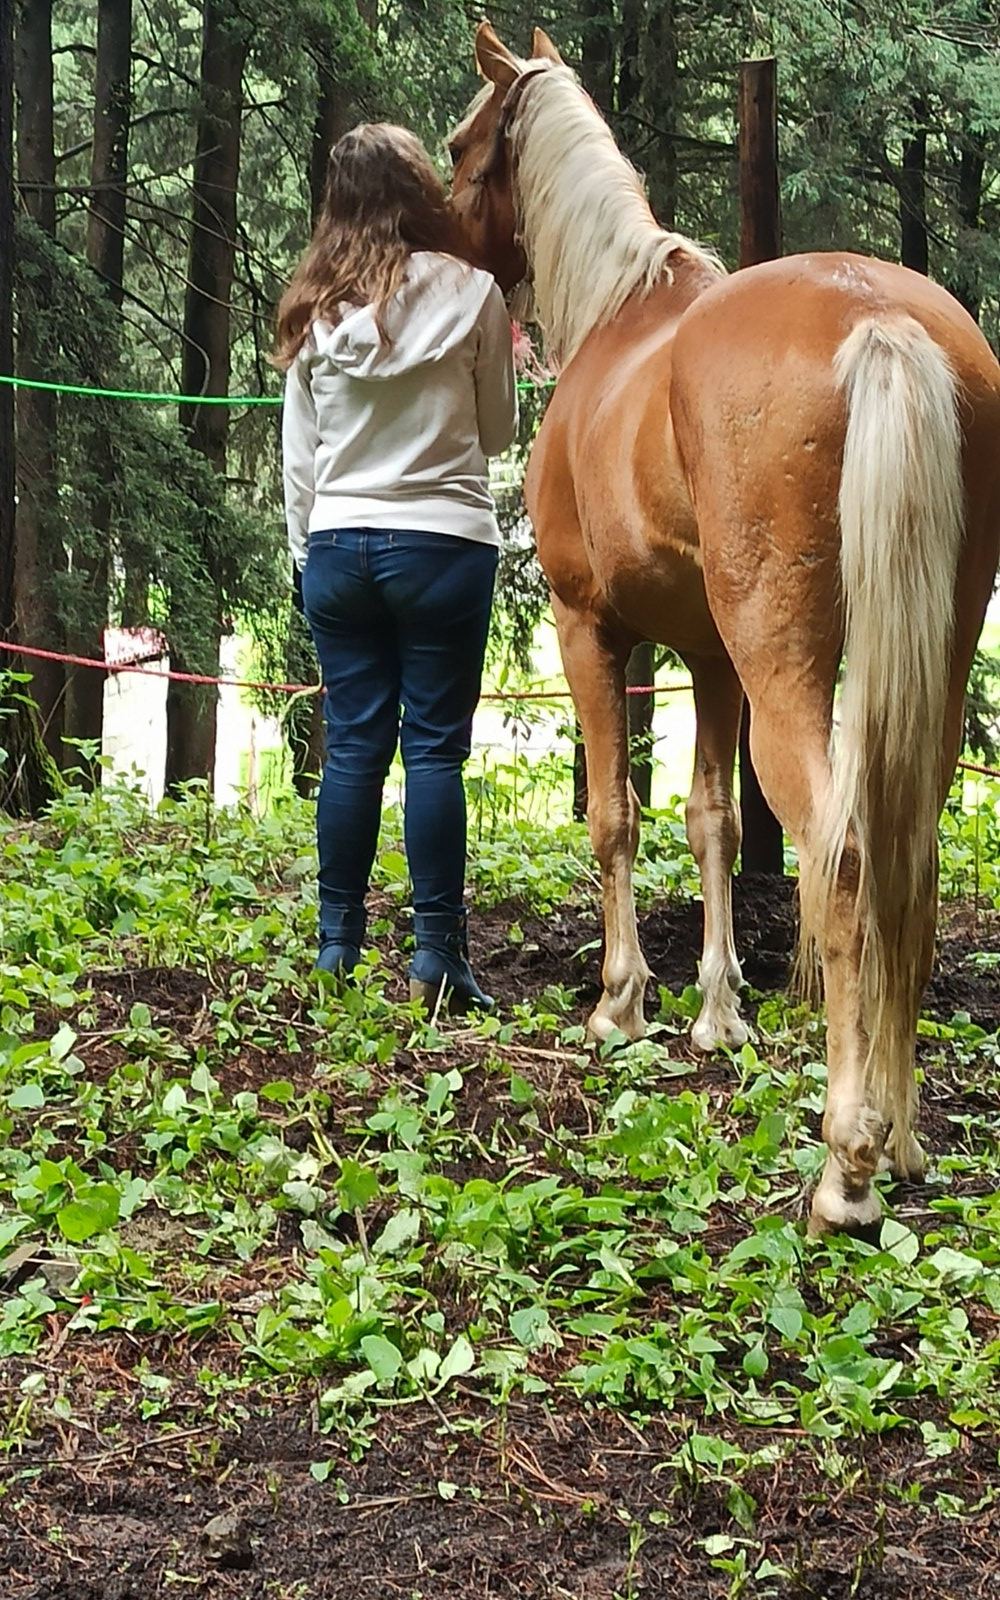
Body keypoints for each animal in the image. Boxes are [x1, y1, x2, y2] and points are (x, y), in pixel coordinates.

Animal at [449, 22, 1000, 1236]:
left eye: (462, 144)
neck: (622, 319)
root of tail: (877, 314)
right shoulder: (709, 659)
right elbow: (713, 822)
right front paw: (717, 1013)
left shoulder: (593, 632)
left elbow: (614, 817)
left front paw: (621, 1004)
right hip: (927, 664)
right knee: (909, 856)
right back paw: (903, 1144)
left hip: (788, 666)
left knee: (842, 863)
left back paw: (846, 1164)